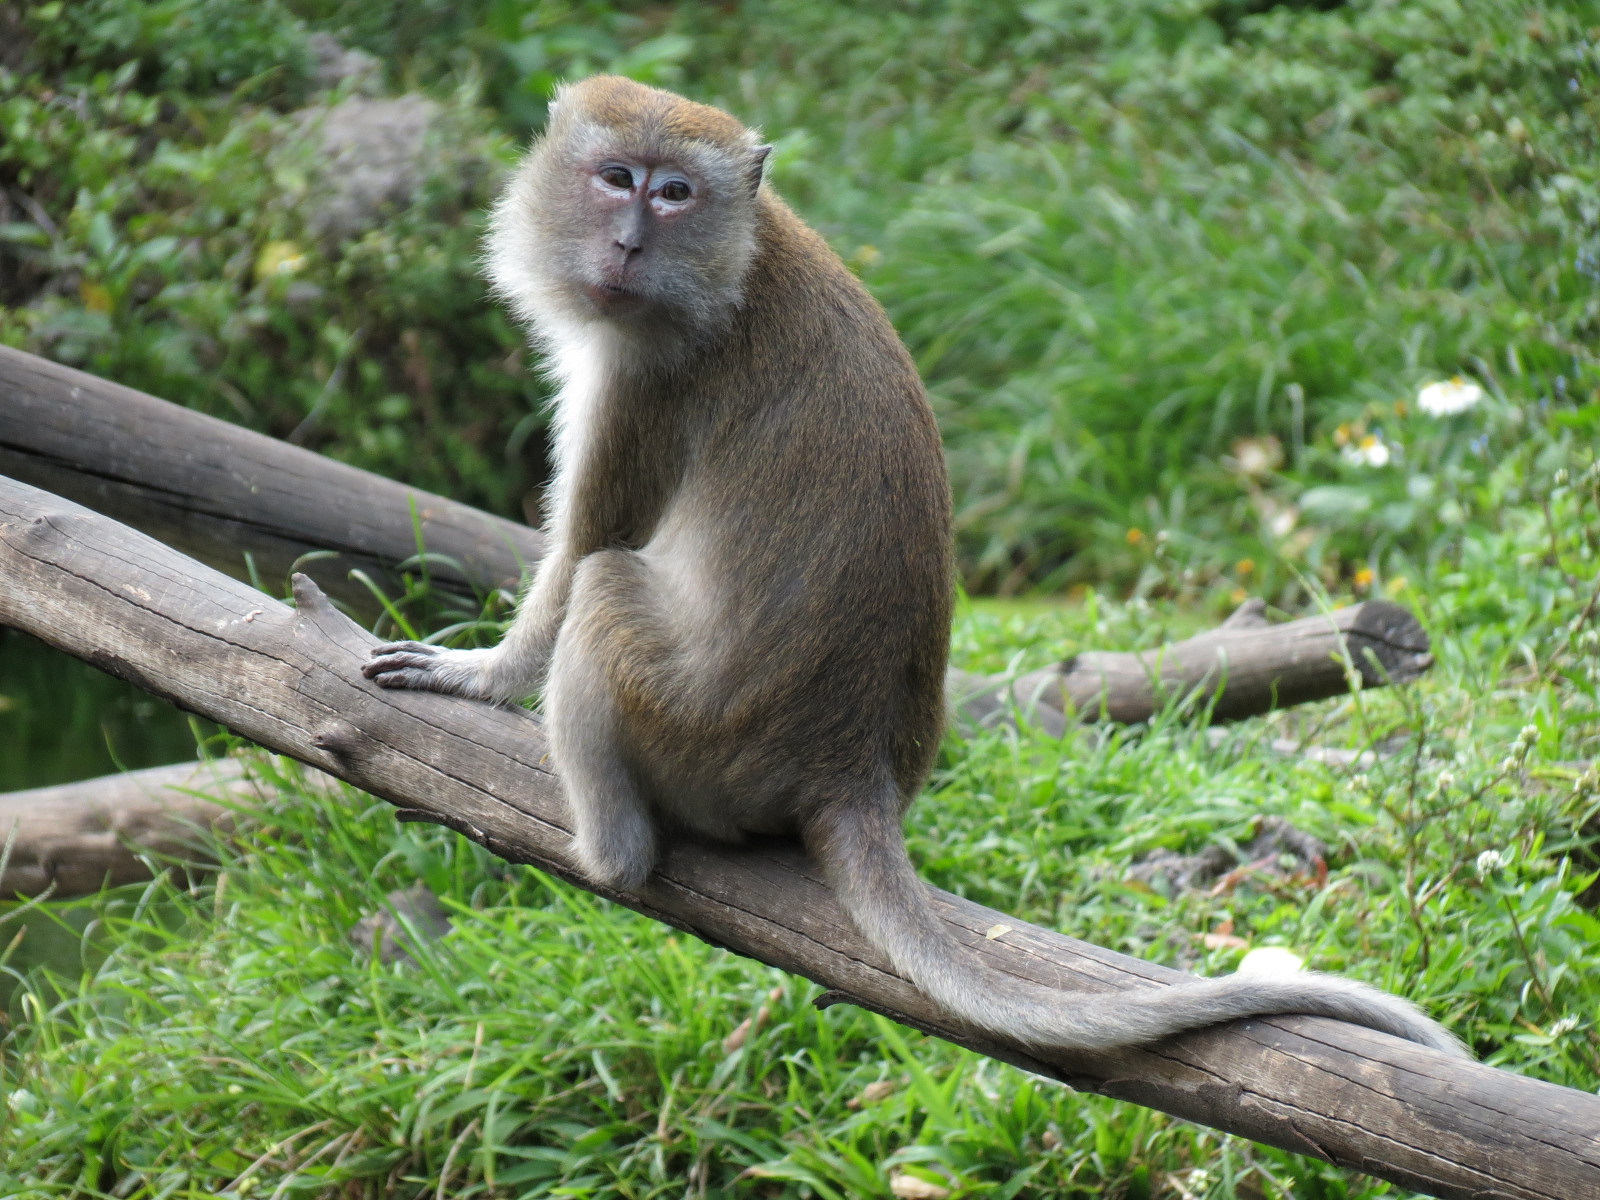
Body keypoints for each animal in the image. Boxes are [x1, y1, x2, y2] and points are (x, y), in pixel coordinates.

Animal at [362, 75, 1467, 1058]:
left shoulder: (643, 376)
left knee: (605, 589)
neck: (739, 258)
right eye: (616, 177)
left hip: (698, 734)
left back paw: (608, 852)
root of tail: (849, 770)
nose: (628, 241)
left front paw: (481, 675)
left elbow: (582, 550)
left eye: (672, 193)